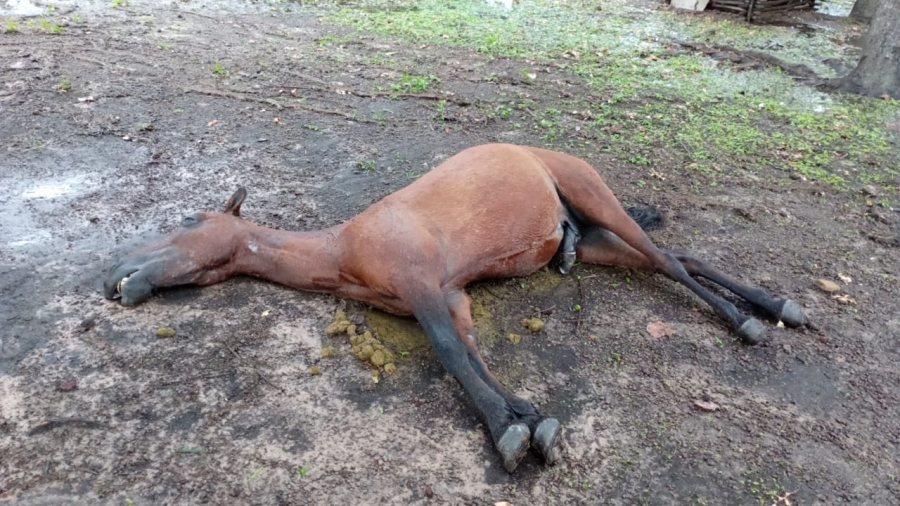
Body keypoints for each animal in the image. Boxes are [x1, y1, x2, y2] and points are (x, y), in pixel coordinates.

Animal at [105, 143, 808, 474]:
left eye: (189, 222)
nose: (114, 274)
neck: (342, 250)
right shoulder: (448, 296)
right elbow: (470, 353)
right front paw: (527, 417)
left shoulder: (424, 287)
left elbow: (449, 355)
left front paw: (509, 432)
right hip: (593, 240)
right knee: (676, 256)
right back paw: (778, 306)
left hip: (596, 198)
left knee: (668, 261)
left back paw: (748, 321)